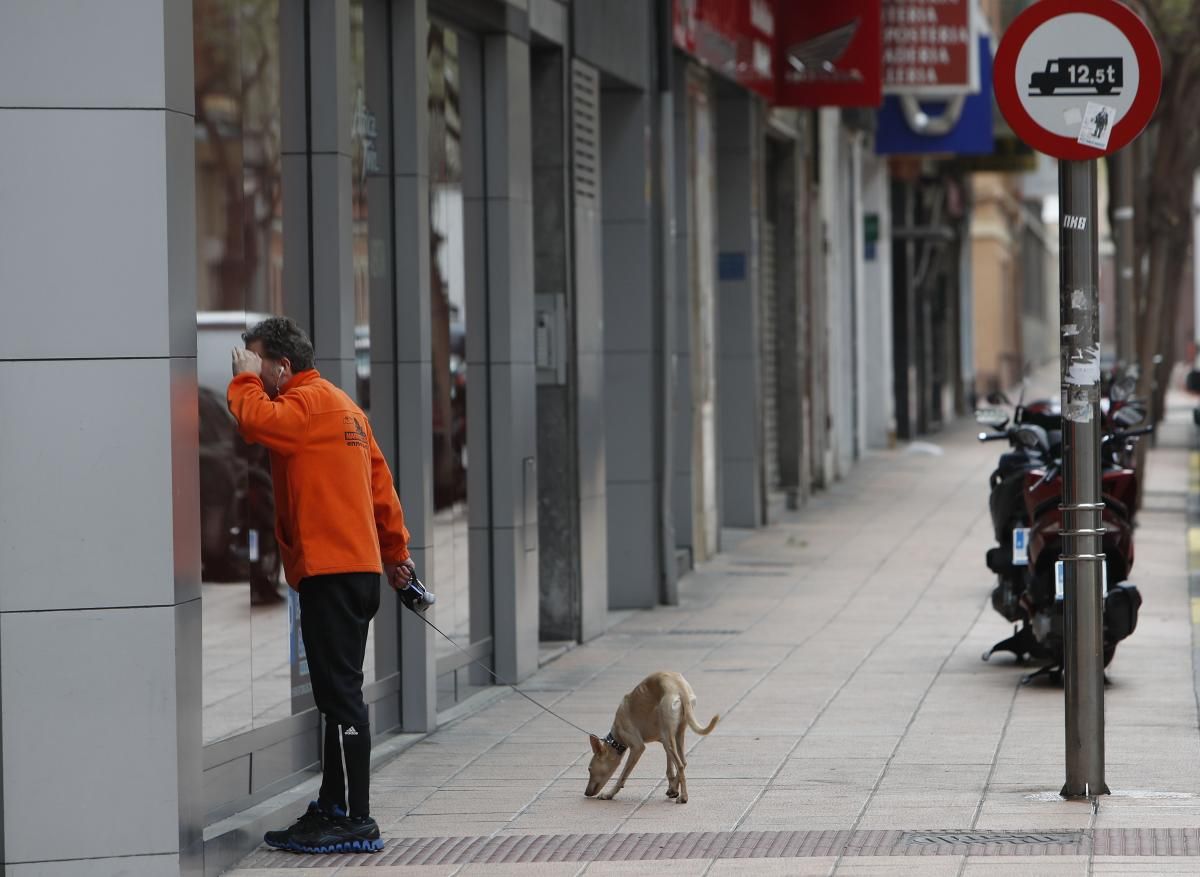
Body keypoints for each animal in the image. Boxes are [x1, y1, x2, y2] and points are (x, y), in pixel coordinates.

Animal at [583, 676, 715, 806]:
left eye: (589, 769)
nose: (586, 793)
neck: (616, 738)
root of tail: (680, 687)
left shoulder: (638, 747)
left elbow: (622, 776)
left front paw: (609, 794)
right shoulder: (664, 740)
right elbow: (670, 770)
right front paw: (672, 789)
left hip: (668, 736)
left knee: (680, 765)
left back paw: (684, 797)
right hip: (676, 735)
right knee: (683, 762)